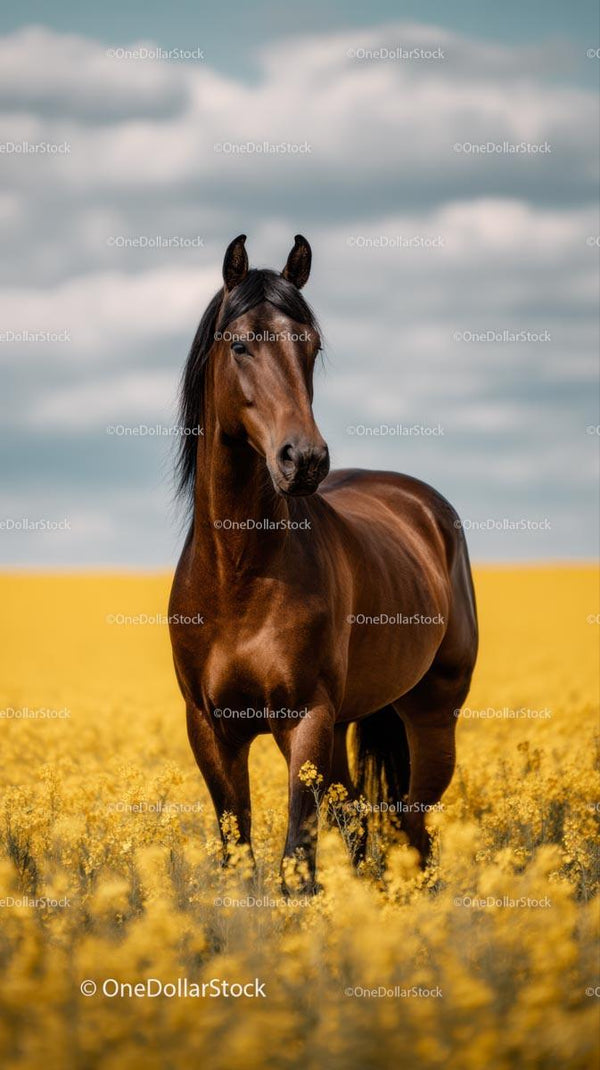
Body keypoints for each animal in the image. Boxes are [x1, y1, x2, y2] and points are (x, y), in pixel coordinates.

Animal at [169, 234, 478, 894]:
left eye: (310, 344)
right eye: (240, 343)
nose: (304, 459)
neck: (239, 575)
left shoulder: (306, 719)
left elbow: (297, 863)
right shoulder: (210, 728)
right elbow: (239, 853)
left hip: (432, 715)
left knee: (414, 826)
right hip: (342, 729)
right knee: (361, 821)